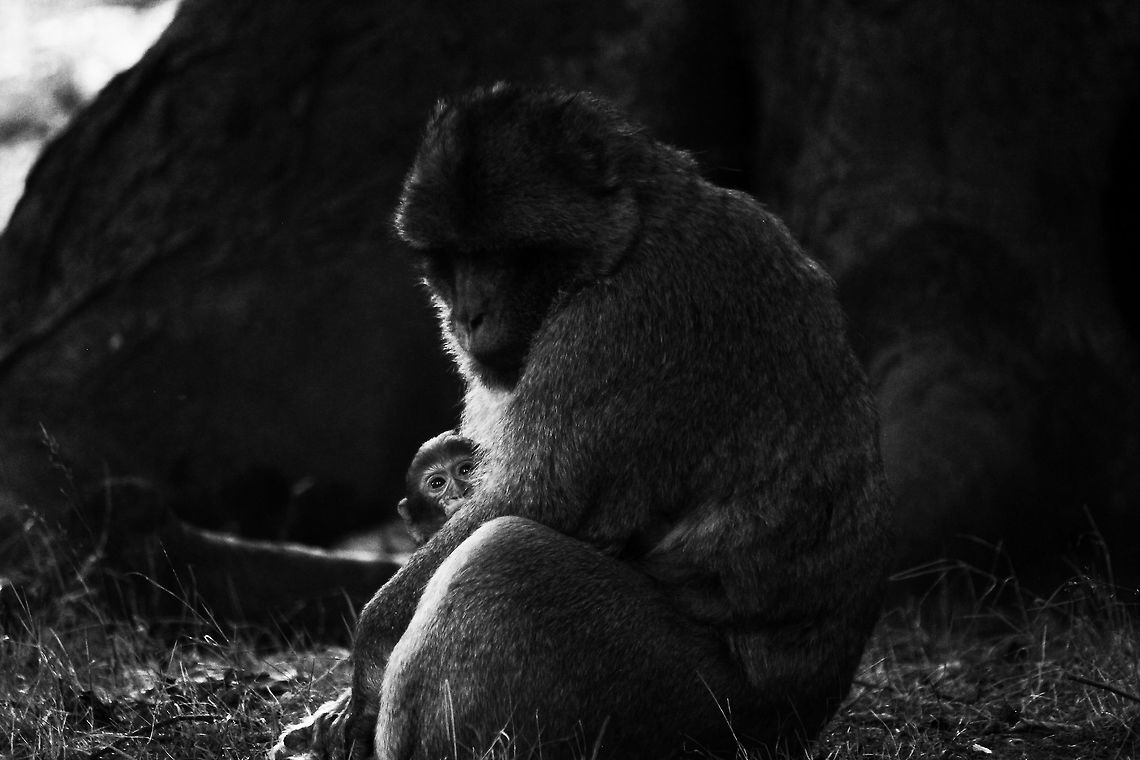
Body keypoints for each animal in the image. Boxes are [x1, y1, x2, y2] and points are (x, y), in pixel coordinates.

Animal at [272, 83, 892, 760]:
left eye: (501, 256)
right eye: (451, 258)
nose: (467, 316)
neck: (628, 235)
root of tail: (804, 714)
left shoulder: (625, 321)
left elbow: (536, 500)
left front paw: (365, 663)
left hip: (693, 708)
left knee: (504, 555)